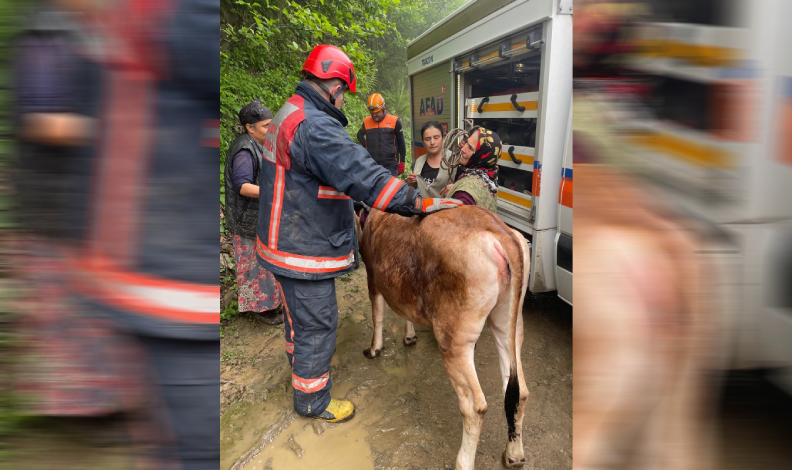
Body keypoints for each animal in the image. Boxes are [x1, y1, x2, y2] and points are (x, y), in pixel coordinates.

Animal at [356, 207, 528, 470]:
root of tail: (500, 230)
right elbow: (405, 313)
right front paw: (409, 337)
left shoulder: (372, 276)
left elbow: (378, 314)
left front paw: (374, 349)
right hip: (509, 324)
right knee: (518, 390)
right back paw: (514, 455)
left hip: (454, 338)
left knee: (475, 406)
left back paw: (463, 462)